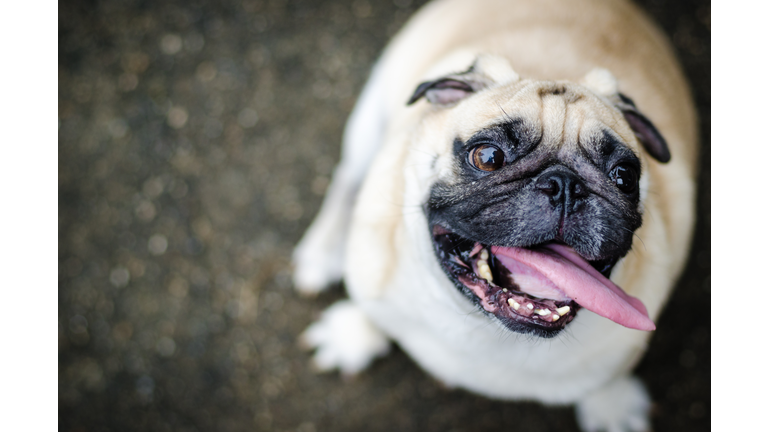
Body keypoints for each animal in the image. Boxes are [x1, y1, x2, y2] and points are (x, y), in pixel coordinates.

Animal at [292, 0, 696, 430]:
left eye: (624, 177)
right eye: (488, 157)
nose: (565, 185)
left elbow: (610, 375)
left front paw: (611, 405)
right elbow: (372, 306)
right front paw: (356, 333)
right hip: (368, 121)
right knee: (346, 177)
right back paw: (321, 255)